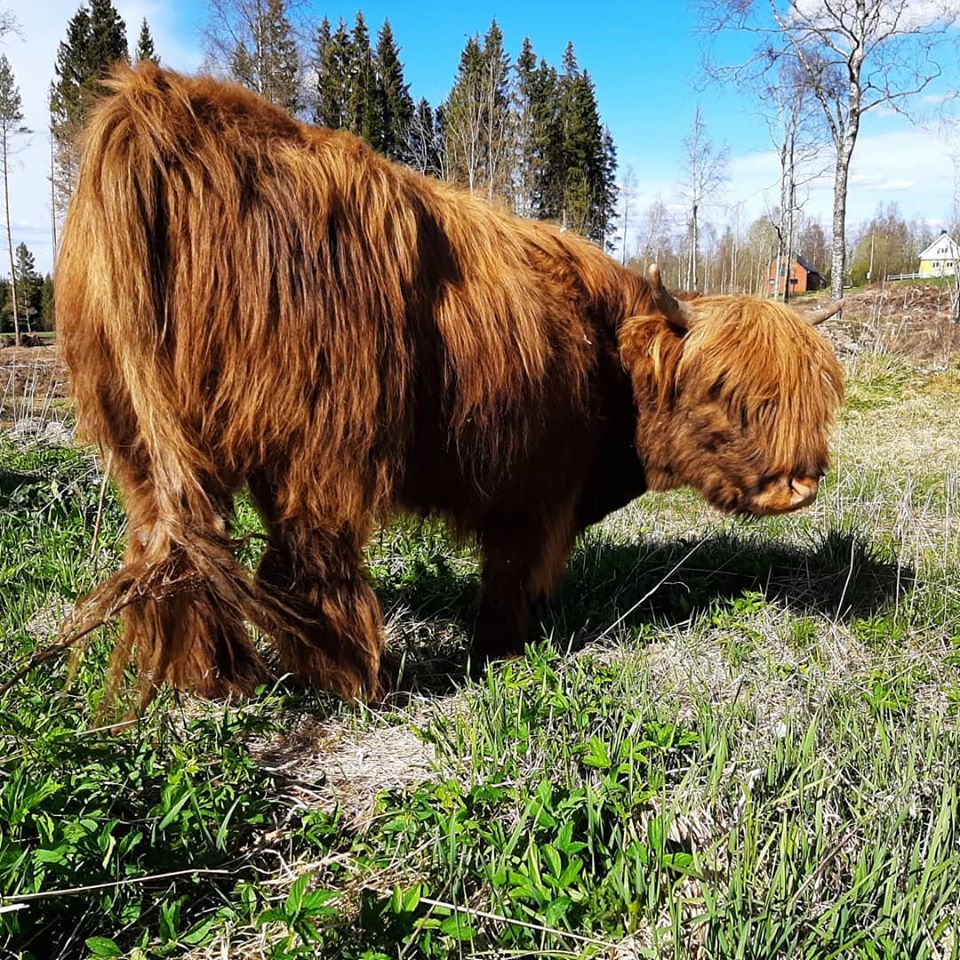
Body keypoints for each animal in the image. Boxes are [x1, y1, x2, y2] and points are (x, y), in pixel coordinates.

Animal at [56, 65, 844, 704]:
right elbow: (511, 569)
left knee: (170, 547)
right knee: (305, 562)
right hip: (322, 447)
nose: (800, 486)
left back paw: (218, 679)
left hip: (138, 438)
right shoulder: (532, 486)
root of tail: (161, 107)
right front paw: (500, 649)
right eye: (724, 394)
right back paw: (358, 681)